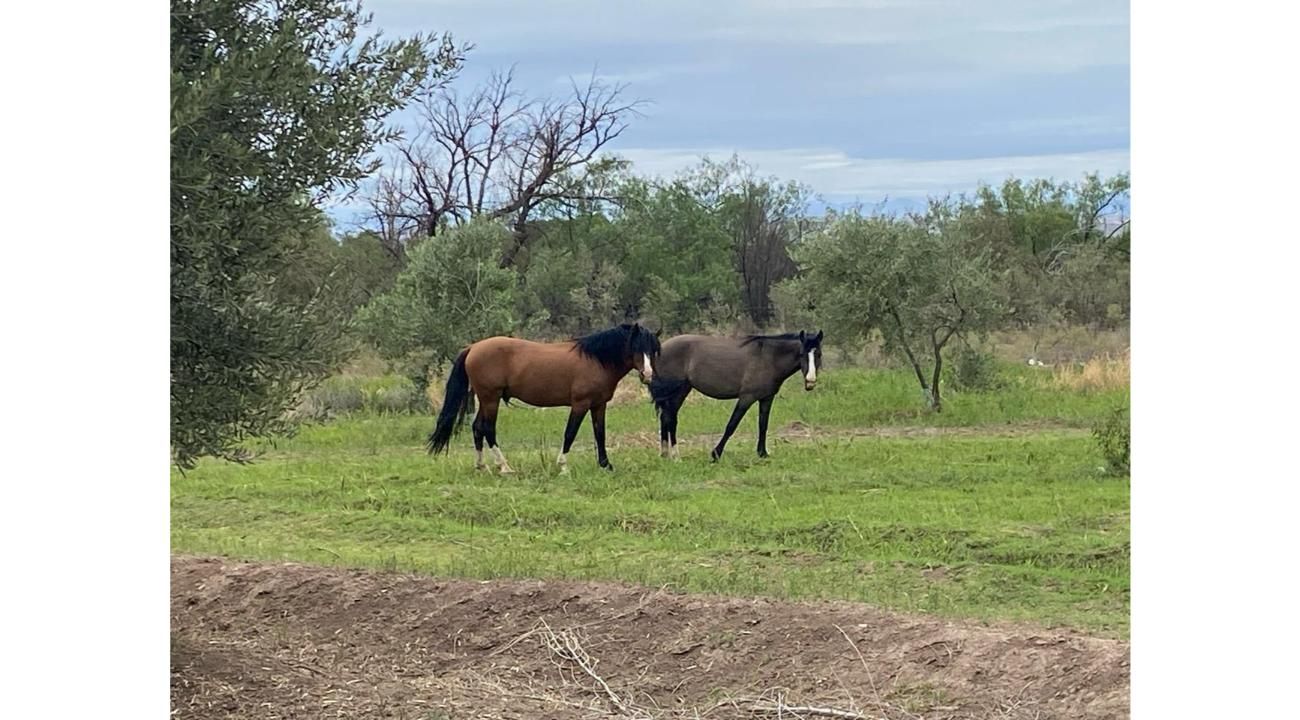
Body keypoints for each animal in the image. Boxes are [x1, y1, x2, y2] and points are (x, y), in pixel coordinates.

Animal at [426, 323, 660, 470]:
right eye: (636, 348)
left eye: (653, 350)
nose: (648, 375)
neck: (595, 360)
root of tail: (473, 347)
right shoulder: (580, 404)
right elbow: (570, 434)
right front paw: (563, 466)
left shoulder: (598, 405)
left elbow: (600, 434)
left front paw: (605, 465)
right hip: (490, 398)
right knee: (487, 429)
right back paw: (504, 467)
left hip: (486, 399)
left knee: (477, 428)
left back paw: (481, 466)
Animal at [647, 330, 821, 460]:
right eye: (802, 354)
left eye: (818, 354)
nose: (810, 381)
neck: (768, 358)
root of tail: (660, 349)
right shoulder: (746, 398)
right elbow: (731, 425)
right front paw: (716, 453)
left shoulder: (766, 399)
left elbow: (763, 425)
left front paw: (762, 453)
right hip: (676, 392)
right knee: (670, 419)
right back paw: (675, 456)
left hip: (682, 391)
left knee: (666, 418)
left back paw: (665, 454)